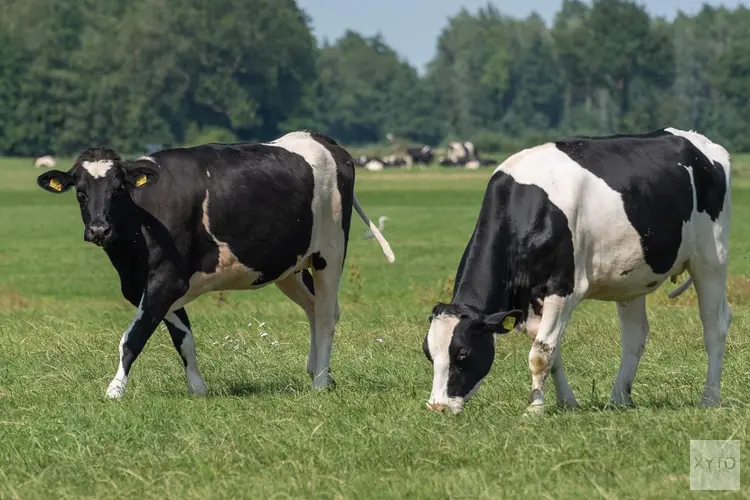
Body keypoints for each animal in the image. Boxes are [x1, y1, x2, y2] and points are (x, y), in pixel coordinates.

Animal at [35, 131, 396, 400]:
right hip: (290, 265)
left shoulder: (166, 279)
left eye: (117, 189)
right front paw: (197, 388)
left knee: (325, 315)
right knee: (315, 308)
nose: (99, 229)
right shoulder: (152, 286)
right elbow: (183, 338)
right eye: (80, 193)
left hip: (330, 252)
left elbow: (133, 337)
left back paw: (319, 382)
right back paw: (320, 372)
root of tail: (319, 139)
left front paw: (115, 390)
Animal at [424, 128, 736, 414]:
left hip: (711, 259)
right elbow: (552, 351)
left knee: (715, 325)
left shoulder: (561, 287)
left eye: (463, 353)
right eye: (428, 353)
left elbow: (540, 353)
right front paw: (567, 402)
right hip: (633, 278)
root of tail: (699, 141)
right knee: (635, 335)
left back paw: (709, 398)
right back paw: (619, 398)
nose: (437, 406)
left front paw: (534, 409)